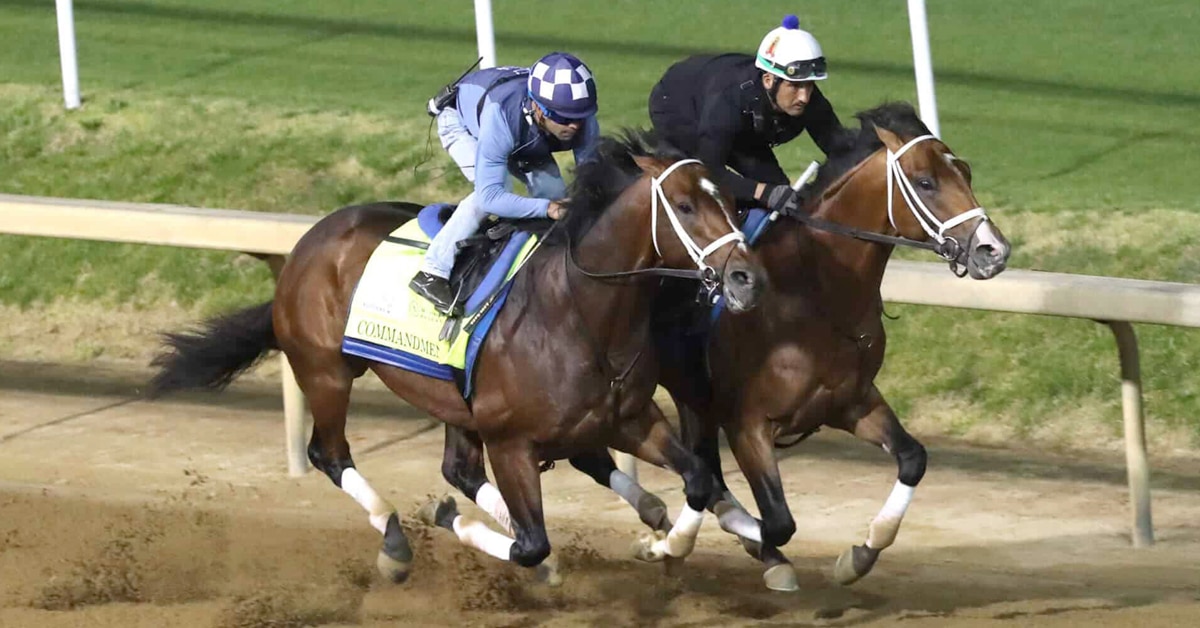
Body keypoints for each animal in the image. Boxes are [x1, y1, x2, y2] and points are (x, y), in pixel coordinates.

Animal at [147, 130, 768, 586]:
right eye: (685, 205)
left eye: (731, 201)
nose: (746, 277)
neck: (579, 312)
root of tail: (305, 246)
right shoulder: (512, 442)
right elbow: (530, 543)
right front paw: (448, 519)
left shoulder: (630, 418)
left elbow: (699, 479)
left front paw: (668, 544)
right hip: (326, 371)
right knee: (329, 454)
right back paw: (395, 540)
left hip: (450, 403)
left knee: (459, 469)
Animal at [652, 102, 1012, 591]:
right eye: (926, 182)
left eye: (967, 172)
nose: (995, 251)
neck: (815, 291)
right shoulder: (746, 423)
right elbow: (776, 521)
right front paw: (674, 545)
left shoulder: (851, 403)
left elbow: (913, 459)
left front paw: (860, 554)